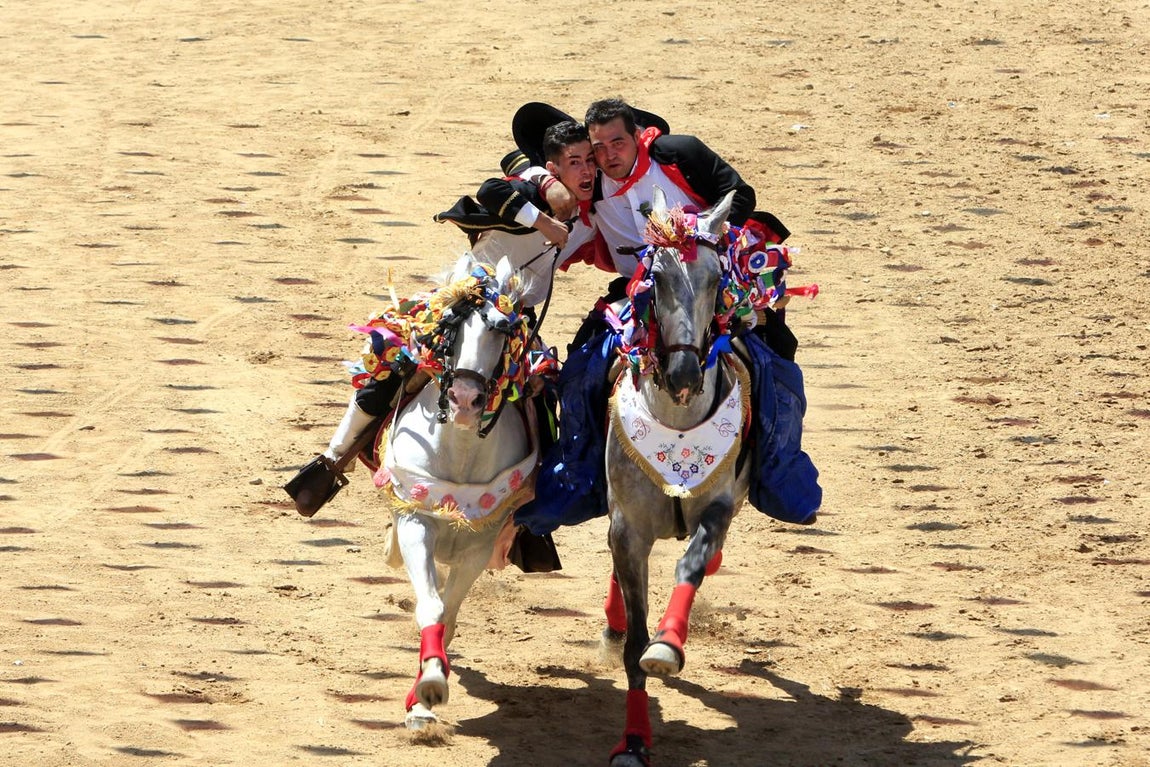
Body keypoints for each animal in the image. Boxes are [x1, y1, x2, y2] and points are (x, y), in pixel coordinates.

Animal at [357, 254, 553, 730]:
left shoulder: (479, 545)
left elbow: (448, 613)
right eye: (450, 328)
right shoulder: (416, 521)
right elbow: (430, 608)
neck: (460, 447)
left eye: (501, 333)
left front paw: (427, 688)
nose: (466, 399)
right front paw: (427, 694)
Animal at [600, 188, 752, 766]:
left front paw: (668, 645)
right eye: (657, 277)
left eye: (715, 278)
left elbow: (690, 564)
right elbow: (633, 646)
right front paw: (633, 741)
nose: (685, 373)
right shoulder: (627, 527)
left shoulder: (720, 505)